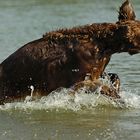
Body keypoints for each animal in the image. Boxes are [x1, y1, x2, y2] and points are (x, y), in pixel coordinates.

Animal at [0, 0, 140, 103]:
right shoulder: (75, 79)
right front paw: (119, 97)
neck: (104, 45)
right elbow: (97, 85)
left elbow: (114, 77)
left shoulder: (97, 70)